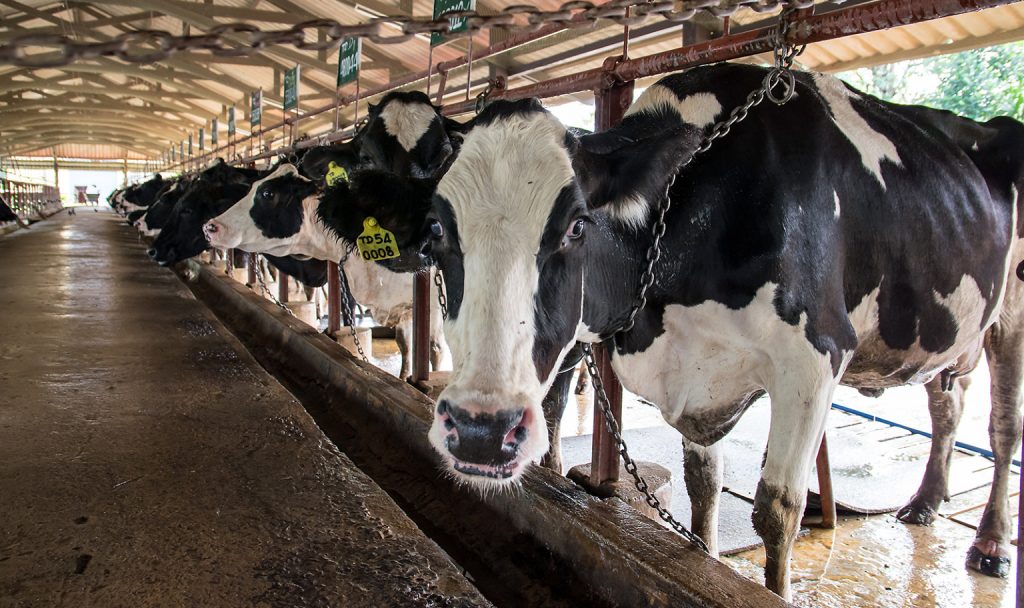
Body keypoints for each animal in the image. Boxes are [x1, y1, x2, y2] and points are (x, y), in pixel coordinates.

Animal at [331, 62, 1019, 597]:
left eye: (576, 225)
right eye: (438, 229)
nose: (481, 430)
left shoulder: (817, 353)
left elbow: (777, 511)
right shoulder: (700, 368)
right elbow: (702, 490)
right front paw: (706, 554)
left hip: (1011, 314)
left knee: (1002, 426)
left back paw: (989, 544)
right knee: (948, 401)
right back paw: (926, 502)